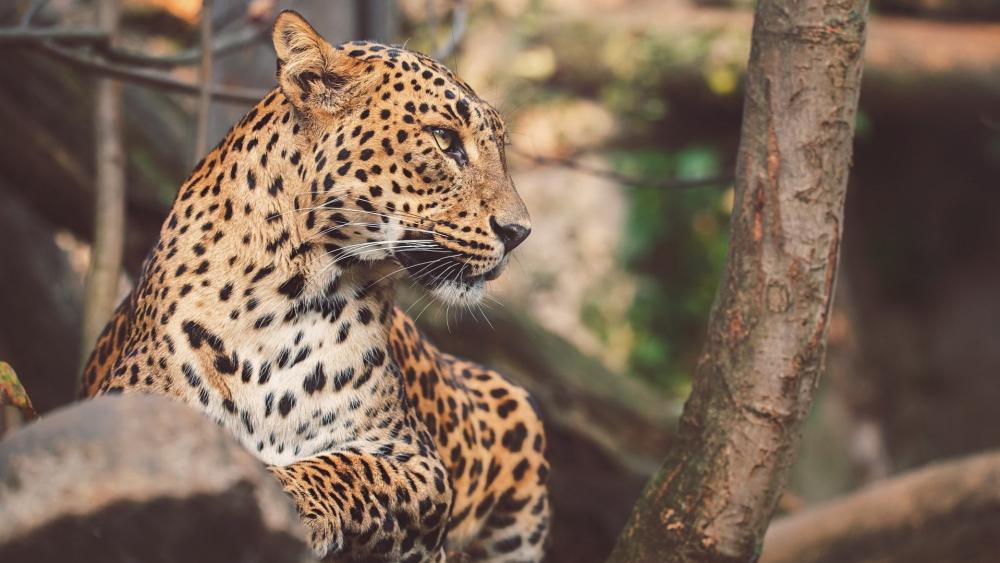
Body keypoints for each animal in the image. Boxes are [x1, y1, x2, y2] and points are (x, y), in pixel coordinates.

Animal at [81, 10, 549, 563]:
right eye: (443, 139)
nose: (518, 232)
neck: (284, 296)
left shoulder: (421, 465)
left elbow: (351, 467)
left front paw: (286, 493)